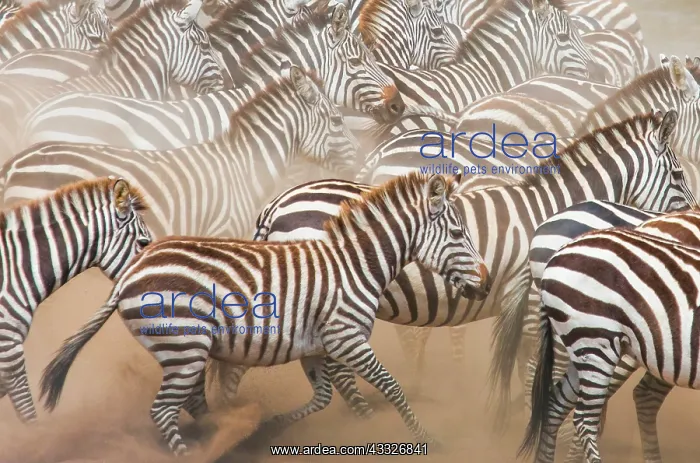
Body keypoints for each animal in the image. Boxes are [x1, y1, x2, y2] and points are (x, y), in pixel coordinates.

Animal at [38, 172, 491, 456]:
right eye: (457, 233)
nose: (486, 284)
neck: (354, 263)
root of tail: (130, 273)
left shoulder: (316, 345)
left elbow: (323, 397)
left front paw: (268, 431)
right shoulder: (346, 337)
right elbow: (391, 387)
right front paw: (430, 439)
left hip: (185, 350)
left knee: (191, 403)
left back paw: (223, 435)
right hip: (185, 346)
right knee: (164, 411)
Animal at [209, 110, 696, 414]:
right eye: (678, 175)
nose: (690, 218)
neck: (554, 209)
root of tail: (278, 203)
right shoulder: (535, 303)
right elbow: (532, 367)